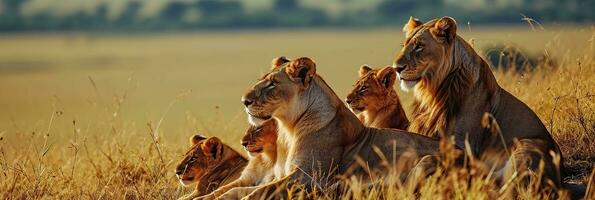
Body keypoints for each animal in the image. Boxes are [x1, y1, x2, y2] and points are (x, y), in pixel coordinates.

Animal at [241, 55, 448, 198]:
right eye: (261, 80)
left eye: (272, 84)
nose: (244, 101)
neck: (288, 129)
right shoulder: (280, 174)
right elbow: (242, 188)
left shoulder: (307, 175)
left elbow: (259, 192)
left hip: (427, 161)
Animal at [396, 16, 564, 188]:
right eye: (404, 46)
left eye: (419, 47)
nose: (396, 68)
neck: (432, 93)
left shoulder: (464, 145)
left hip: (526, 147)